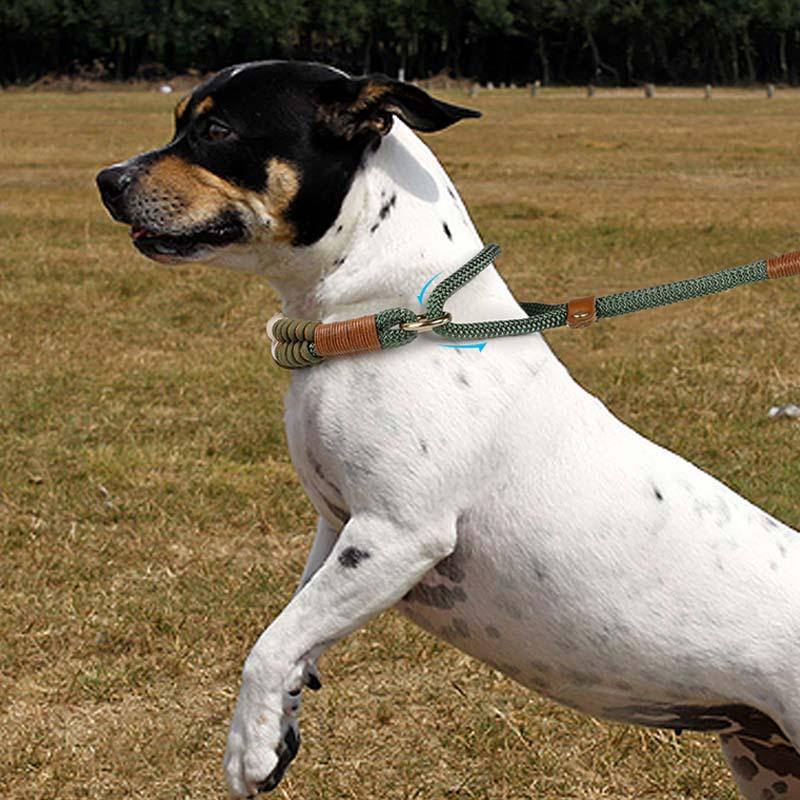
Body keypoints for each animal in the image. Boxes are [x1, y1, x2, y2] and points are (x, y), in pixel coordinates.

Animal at [95, 59, 800, 796]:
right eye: (182, 121)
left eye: (216, 131)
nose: (107, 180)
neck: (392, 317)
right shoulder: (337, 525)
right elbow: (297, 624)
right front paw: (280, 717)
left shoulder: (397, 534)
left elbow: (272, 642)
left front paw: (249, 745)